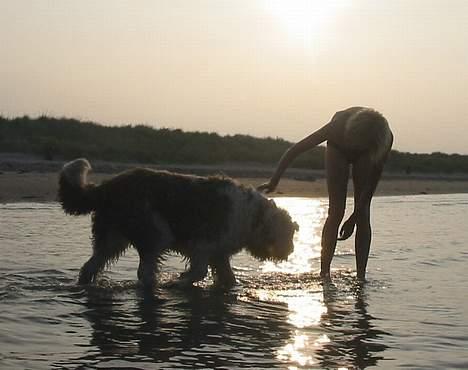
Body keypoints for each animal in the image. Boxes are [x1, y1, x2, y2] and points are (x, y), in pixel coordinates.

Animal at [58, 159, 298, 290]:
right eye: (288, 236)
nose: (291, 250)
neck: (253, 215)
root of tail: (106, 187)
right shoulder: (203, 245)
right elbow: (199, 271)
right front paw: (179, 282)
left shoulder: (219, 253)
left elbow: (228, 277)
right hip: (155, 231)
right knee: (144, 271)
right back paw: (155, 287)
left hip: (112, 237)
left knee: (90, 266)